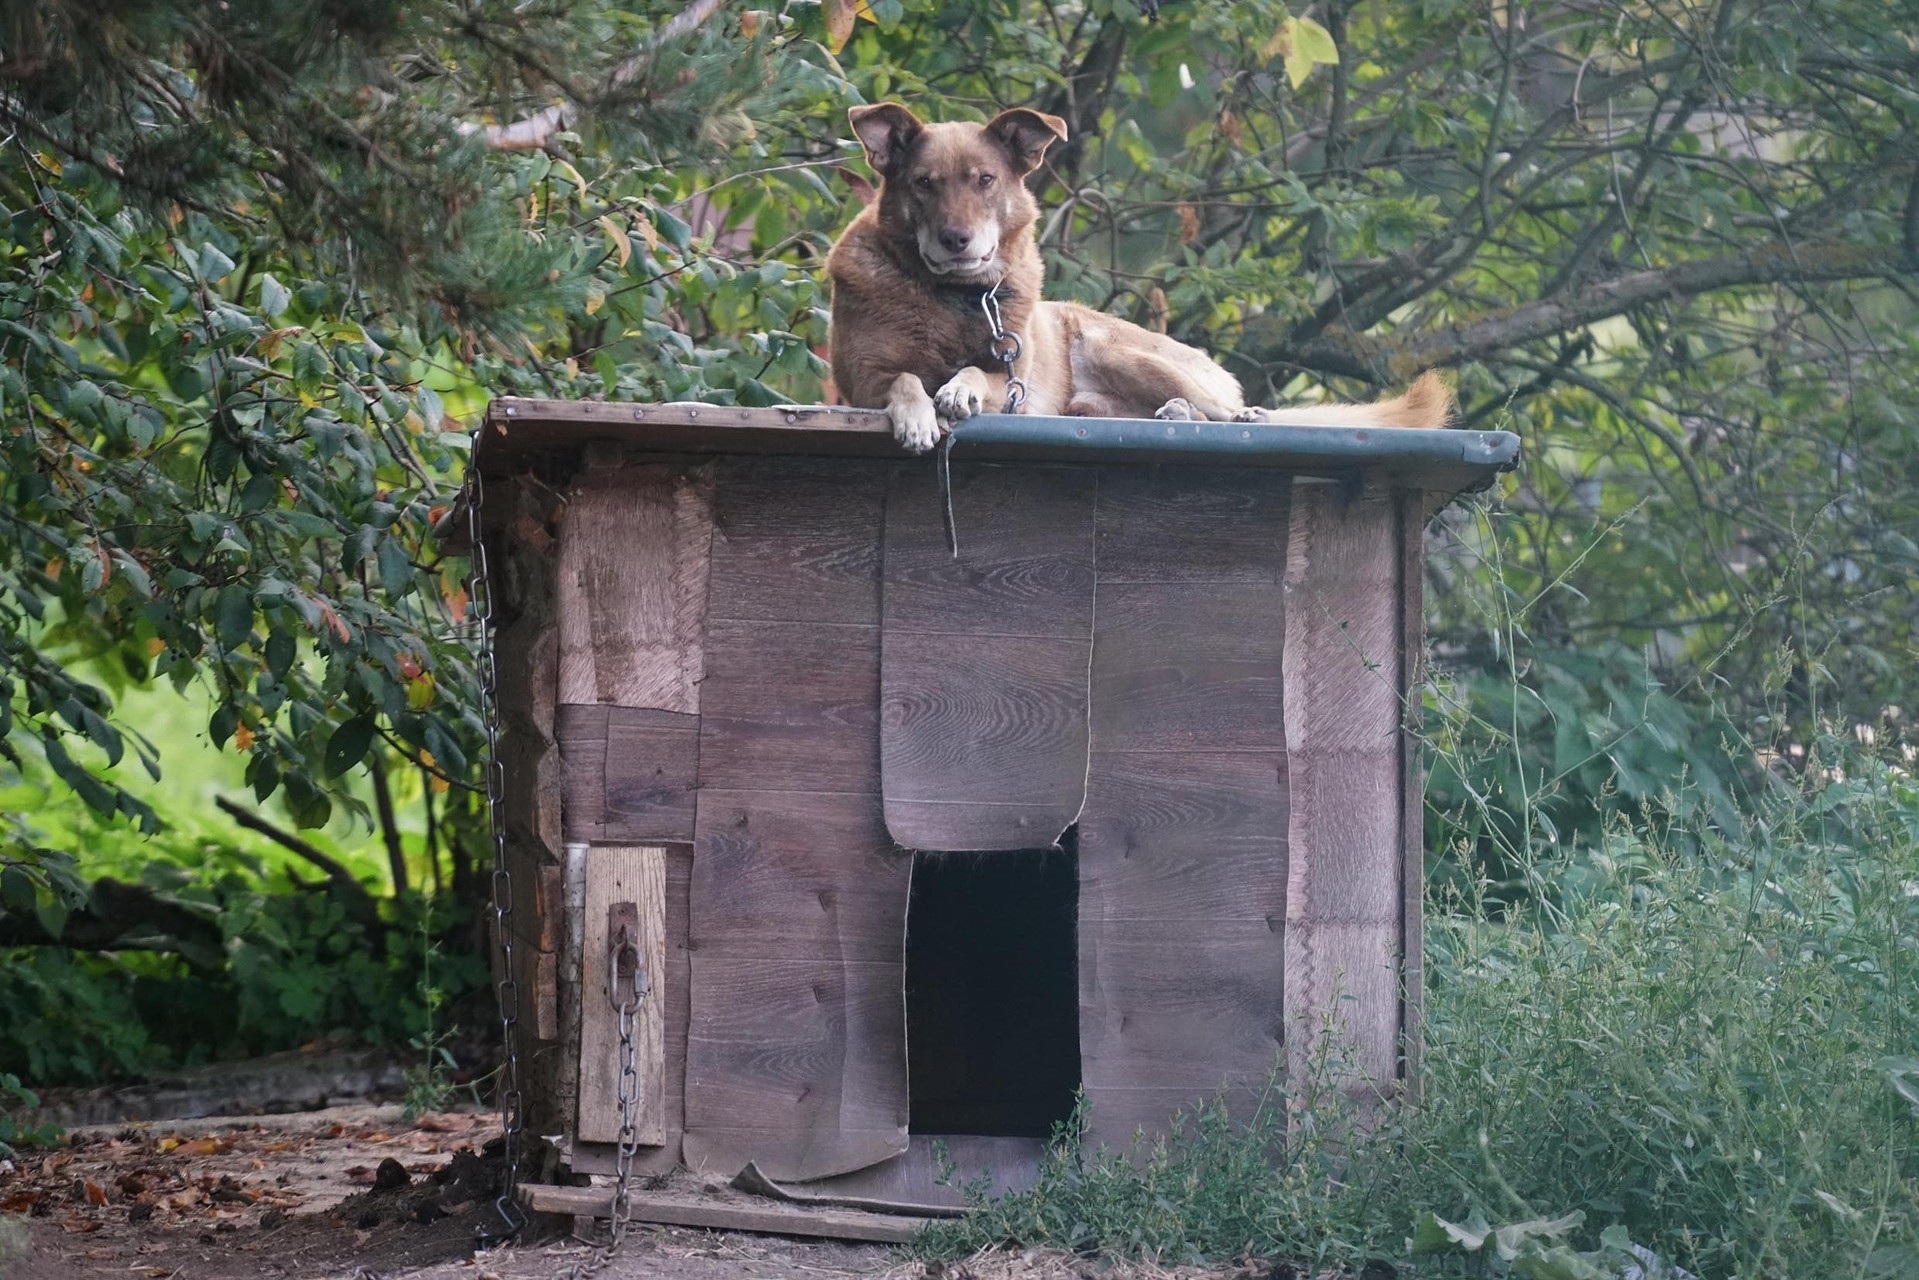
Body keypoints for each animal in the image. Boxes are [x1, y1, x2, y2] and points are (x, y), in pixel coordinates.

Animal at [817, 105, 1443, 454]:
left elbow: (977, 372)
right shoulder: (862, 379)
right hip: (1090, 409)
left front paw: (957, 389)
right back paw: (1181, 415)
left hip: (1118, 353)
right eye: (924, 183)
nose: (956, 241)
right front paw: (919, 414)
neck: (953, 298)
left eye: (986, 180)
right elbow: (904, 379)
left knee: (1223, 411)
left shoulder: (1013, 386)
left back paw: (1234, 414)